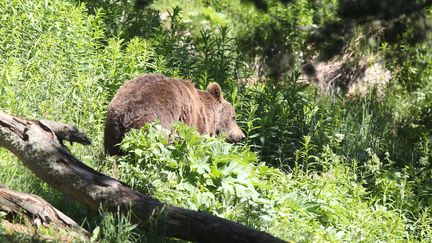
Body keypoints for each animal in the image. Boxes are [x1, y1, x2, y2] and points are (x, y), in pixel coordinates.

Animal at [104, 73, 245, 156]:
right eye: (234, 117)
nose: (242, 136)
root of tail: (126, 112)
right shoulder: (194, 124)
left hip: (112, 127)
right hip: (155, 122)